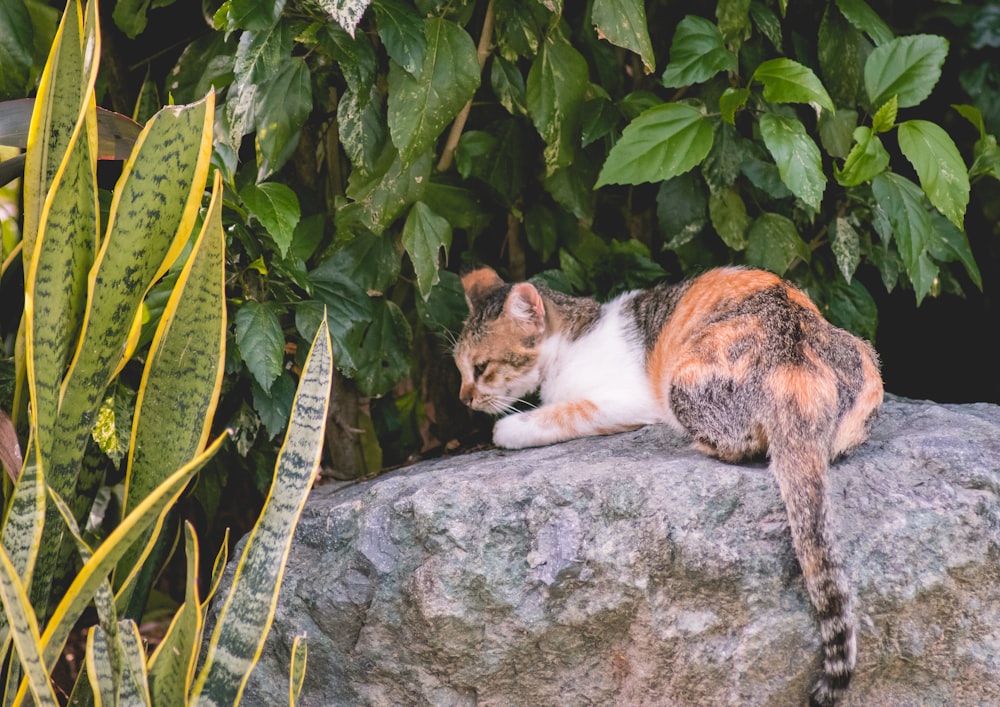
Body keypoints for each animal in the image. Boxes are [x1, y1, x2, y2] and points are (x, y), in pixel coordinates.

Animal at [454, 266, 884, 707]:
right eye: (459, 368)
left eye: (481, 367)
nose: (463, 398)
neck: (575, 337)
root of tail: (792, 364)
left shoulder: (624, 401)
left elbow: (559, 414)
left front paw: (507, 429)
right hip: (866, 361)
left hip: (683, 384)